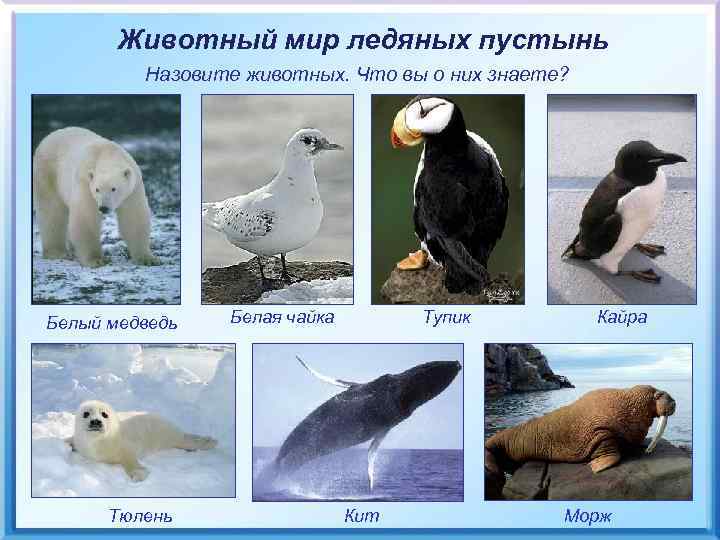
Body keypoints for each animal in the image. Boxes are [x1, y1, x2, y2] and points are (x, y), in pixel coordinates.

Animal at [32, 126, 158, 267]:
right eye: (97, 189)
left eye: (114, 188)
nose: (103, 208)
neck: (107, 153)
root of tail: (50, 136)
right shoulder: (85, 184)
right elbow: (86, 218)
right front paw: (96, 260)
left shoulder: (133, 189)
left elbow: (134, 218)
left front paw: (148, 259)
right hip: (47, 174)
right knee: (52, 211)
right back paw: (57, 252)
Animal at [66, 400, 218, 482]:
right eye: (86, 414)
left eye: (104, 414)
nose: (96, 421)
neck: (96, 445)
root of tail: (175, 430)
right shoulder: (80, 442)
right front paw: (66, 443)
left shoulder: (127, 447)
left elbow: (130, 460)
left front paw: (139, 474)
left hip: (170, 436)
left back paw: (207, 442)